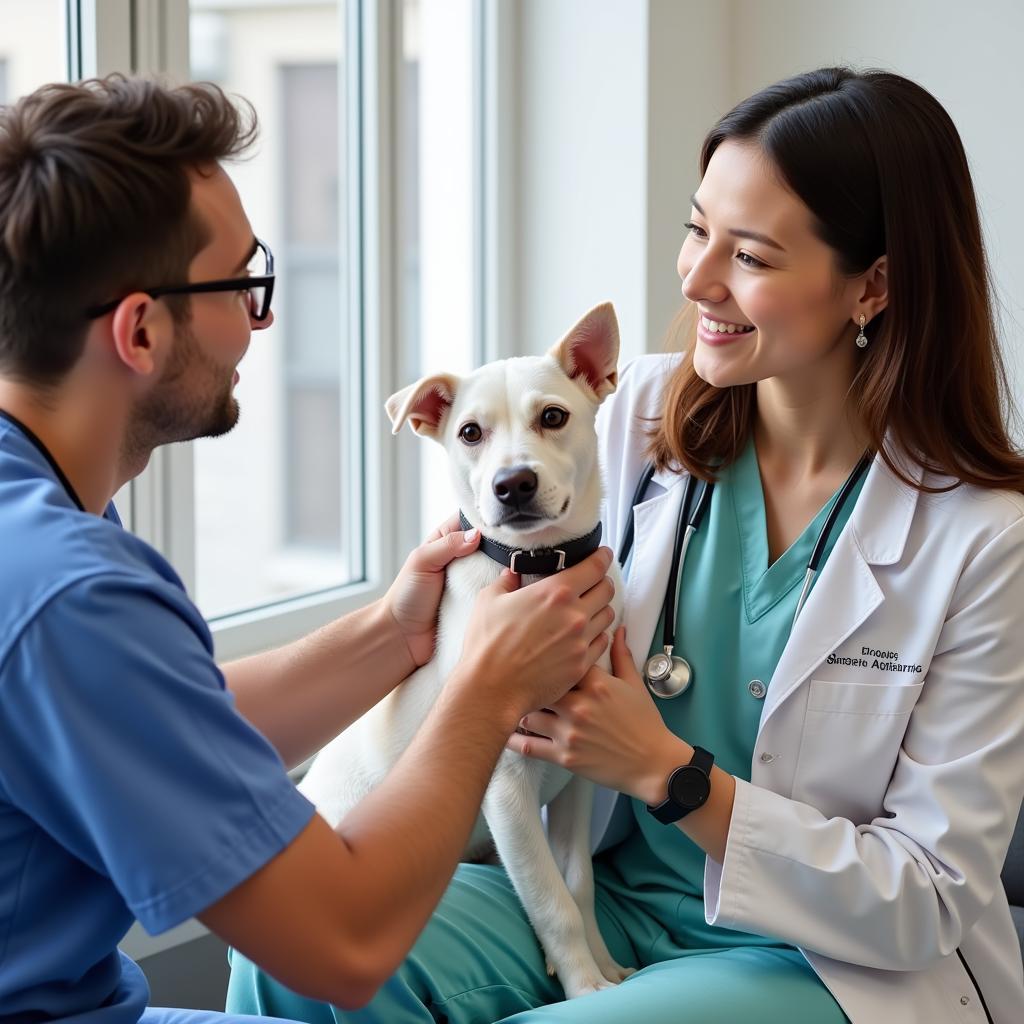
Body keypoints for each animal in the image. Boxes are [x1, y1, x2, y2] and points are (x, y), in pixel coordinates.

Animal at [299, 299, 626, 995]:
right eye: (470, 433)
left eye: (553, 416)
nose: (513, 484)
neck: (538, 574)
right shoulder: (506, 791)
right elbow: (551, 901)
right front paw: (585, 989)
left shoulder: (578, 776)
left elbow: (577, 882)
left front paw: (604, 964)